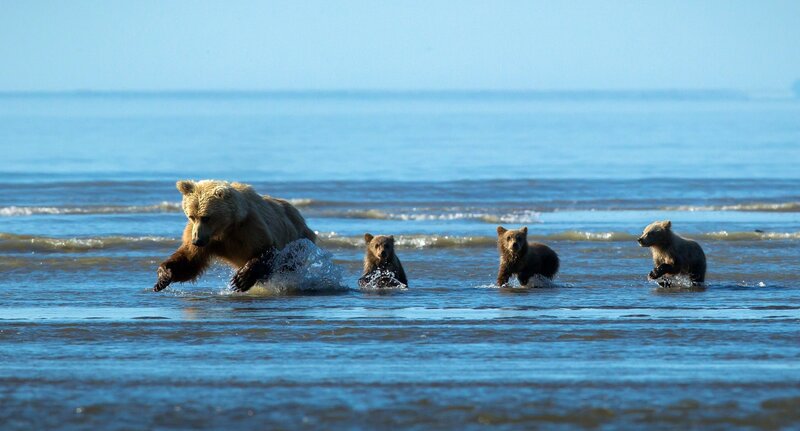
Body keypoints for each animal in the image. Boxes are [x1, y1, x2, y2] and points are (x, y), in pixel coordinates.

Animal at [153, 179, 317, 292]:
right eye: (191, 216)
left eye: (206, 217)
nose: (197, 240)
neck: (225, 228)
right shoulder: (202, 236)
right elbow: (190, 260)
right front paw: (163, 276)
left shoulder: (250, 227)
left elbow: (267, 249)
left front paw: (241, 279)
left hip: (298, 239)